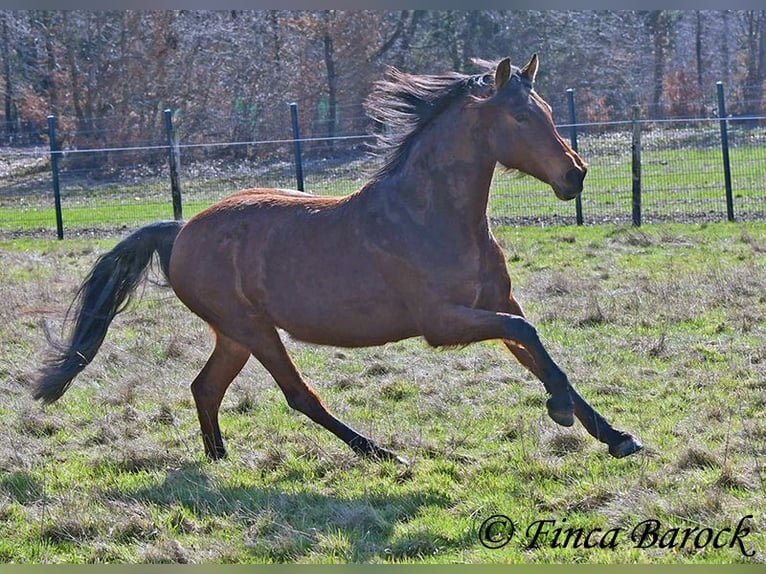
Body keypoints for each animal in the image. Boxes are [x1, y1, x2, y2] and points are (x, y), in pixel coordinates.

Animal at [34, 55, 642, 464]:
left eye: (546, 108)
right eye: (518, 116)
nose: (575, 176)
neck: (432, 217)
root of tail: (180, 230)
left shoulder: (496, 305)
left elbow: (540, 352)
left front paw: (618, 437)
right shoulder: (444, 323)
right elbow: (532, 337)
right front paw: (561, 412)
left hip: (233, 334)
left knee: (205, 387)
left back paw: (220, 460)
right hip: (253, 329)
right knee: (298, 395)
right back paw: (381, 453)